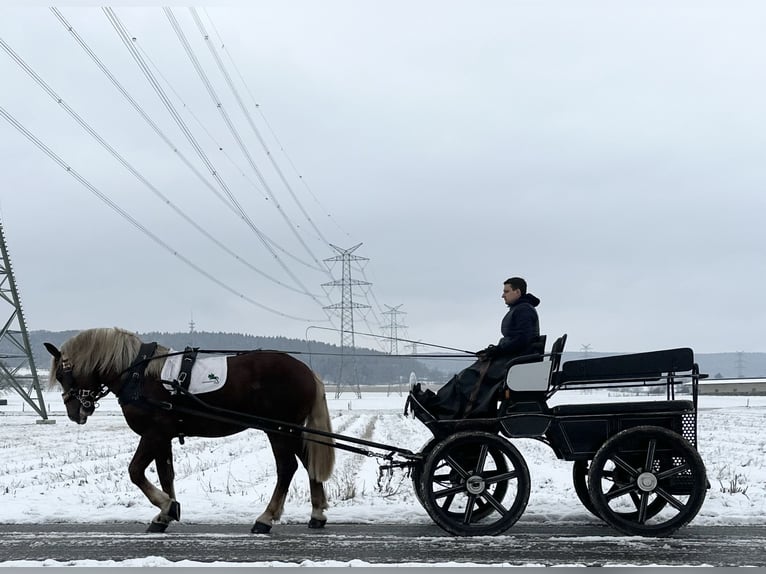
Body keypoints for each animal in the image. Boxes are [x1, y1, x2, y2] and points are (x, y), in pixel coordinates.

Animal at [43, 328, 334, 536]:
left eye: (63, 374)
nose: (75, 412)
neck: (139, 373)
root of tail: (307, 371)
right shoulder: (163, 437)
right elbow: (166, 474)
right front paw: (166, 514)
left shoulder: (154, 433)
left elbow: (135, 471)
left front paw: (166, 507)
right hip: (291, 430)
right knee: (308, 464)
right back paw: (317, 514)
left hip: (278, 429)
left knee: (286, 468)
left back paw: (265, 519)